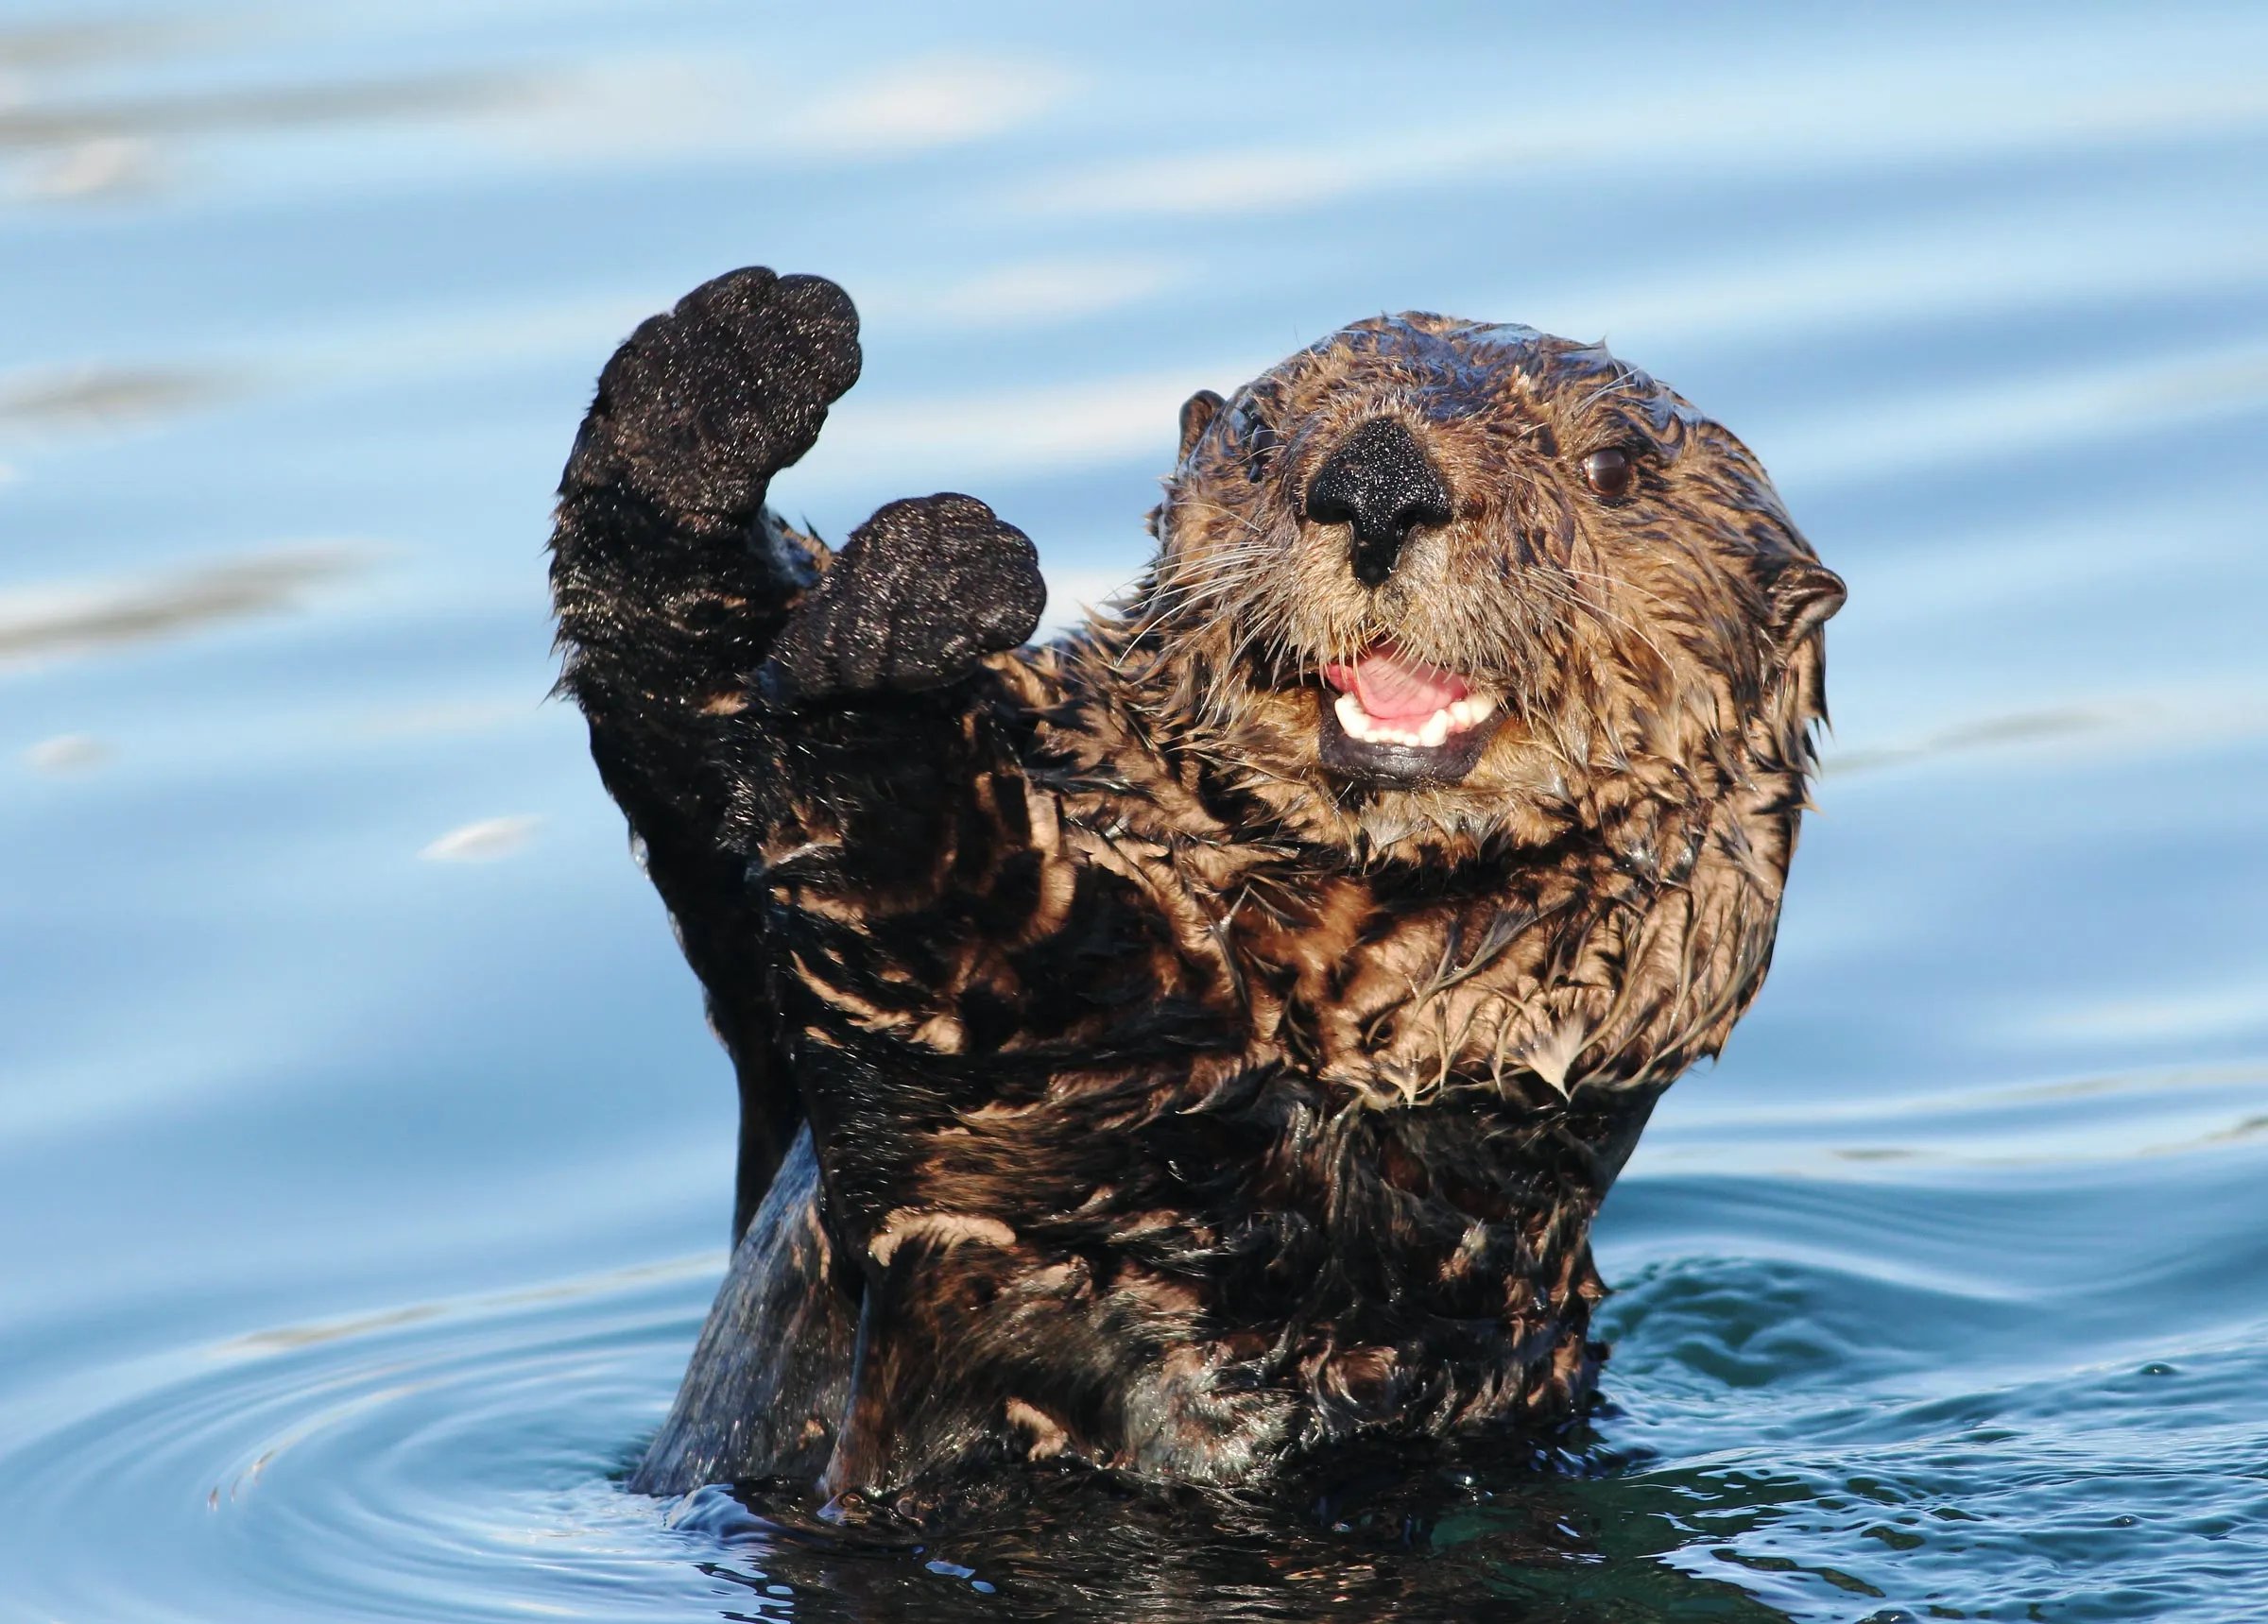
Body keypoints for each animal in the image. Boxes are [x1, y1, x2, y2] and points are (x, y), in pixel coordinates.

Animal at [547, 267, 1842, 1507]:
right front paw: (725, 375)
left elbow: (970, 946)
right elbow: (695, 735)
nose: (1378, 480)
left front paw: (900, 619)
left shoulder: (1179, 1167)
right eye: (1263, 438)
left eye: (1611, 465)